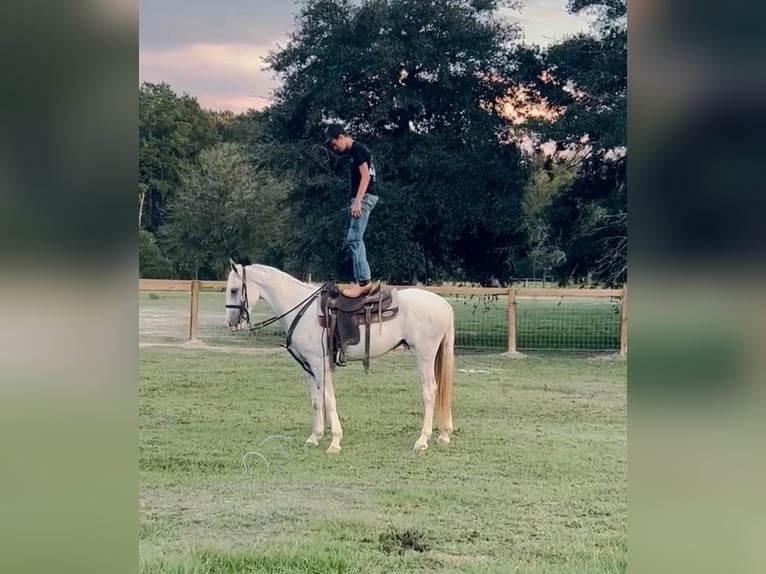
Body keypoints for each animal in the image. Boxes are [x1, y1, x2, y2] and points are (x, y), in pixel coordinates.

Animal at [226, 260, 456, 454]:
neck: (301, 310)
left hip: (424, 355)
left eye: (234, 290)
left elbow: (329, 399)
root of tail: (443, 304)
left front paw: (335, 442)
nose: (231, 322)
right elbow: (316, 400)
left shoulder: (319, 364)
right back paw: (444, 435)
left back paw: (422, 441)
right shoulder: (308, 367)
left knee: (430, 392)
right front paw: (314, 437)